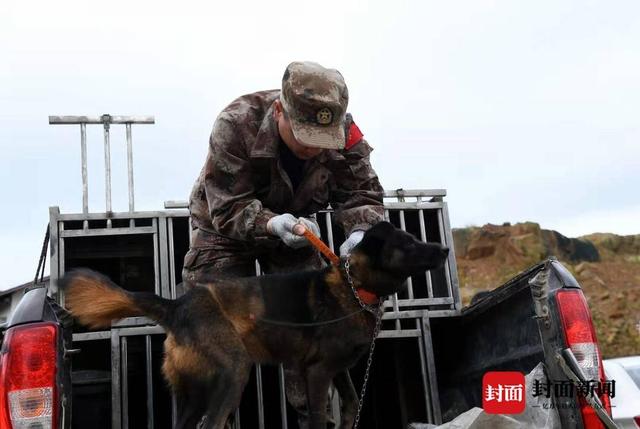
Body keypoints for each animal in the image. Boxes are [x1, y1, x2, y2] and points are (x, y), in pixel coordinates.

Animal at [61, 222, 450, 426]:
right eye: (409, 242)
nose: (445, 249)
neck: (354, 287)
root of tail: (177, 306)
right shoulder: (318, 372)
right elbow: (319, 415)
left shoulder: (338, 371)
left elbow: (352, 405)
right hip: (232, 373)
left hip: (193, 394)